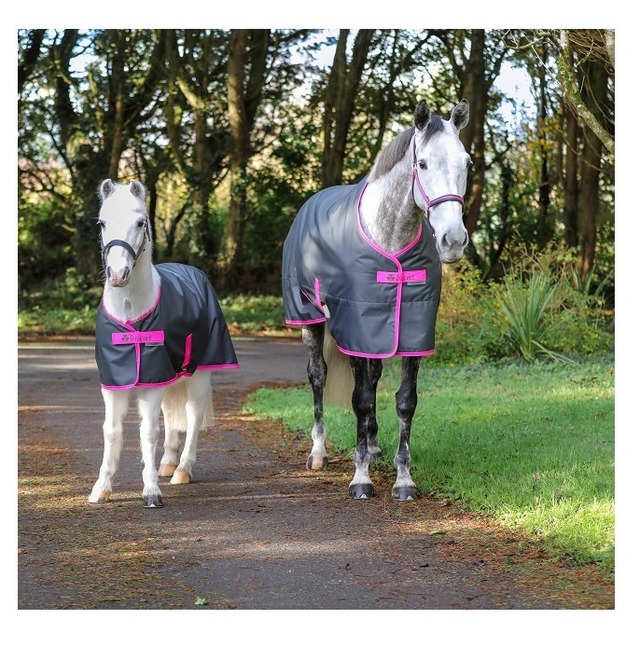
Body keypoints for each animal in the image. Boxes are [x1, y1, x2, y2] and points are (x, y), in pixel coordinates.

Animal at [89, 179, 239, 508]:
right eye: (102, 222)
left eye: (140, 222)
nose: (117, 275)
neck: (130, 312)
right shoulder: (113, 383)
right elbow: (111, 432)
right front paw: (101, 488)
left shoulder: (151, 381)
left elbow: (148, 432)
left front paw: (151, 492)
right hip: (172, 375)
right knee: (172, 415)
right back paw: (168, 463)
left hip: (197, 374)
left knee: (192, 416)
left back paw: (182, 470)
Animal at [282, 99, 470, 500]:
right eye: (422, 164)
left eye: (466, 162)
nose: (453, 240)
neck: (390, 239)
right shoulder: (356, 331)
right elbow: (361, 399)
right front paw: (361, 478)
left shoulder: (411, 333)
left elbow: (404, 401)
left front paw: (404, 479)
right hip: (309, 319)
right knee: (318, 377)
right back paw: (319, 452)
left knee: (374, 378)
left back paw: (370, 444)